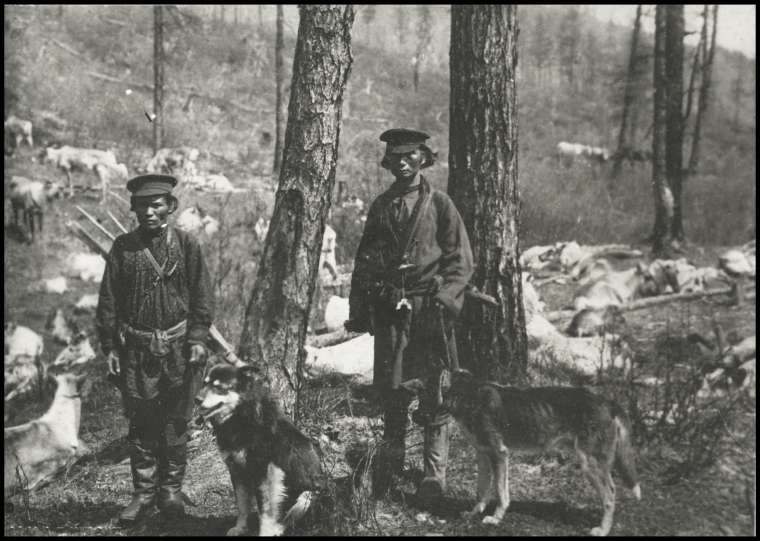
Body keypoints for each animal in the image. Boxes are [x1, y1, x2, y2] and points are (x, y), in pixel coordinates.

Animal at [194, 360, 326, 532]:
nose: (196, 399)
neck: (241, 418)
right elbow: (242, 505)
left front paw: (266, 532)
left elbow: (266, 511)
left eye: (219, 387)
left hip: (307, 496)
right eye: (204, 383)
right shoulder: (237, 470)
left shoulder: (266, 473)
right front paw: (240, 528)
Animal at [400, 368, 644, 536]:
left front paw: (495, 518)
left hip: (590, 463)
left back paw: (603, 530)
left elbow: (500, 492)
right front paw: (474, 513)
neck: (467, 396)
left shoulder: (499, 454)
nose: (413, 417)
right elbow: (482, 491)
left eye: (422, 399)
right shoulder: (483, 455)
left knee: (611, 494)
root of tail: (608, 402)